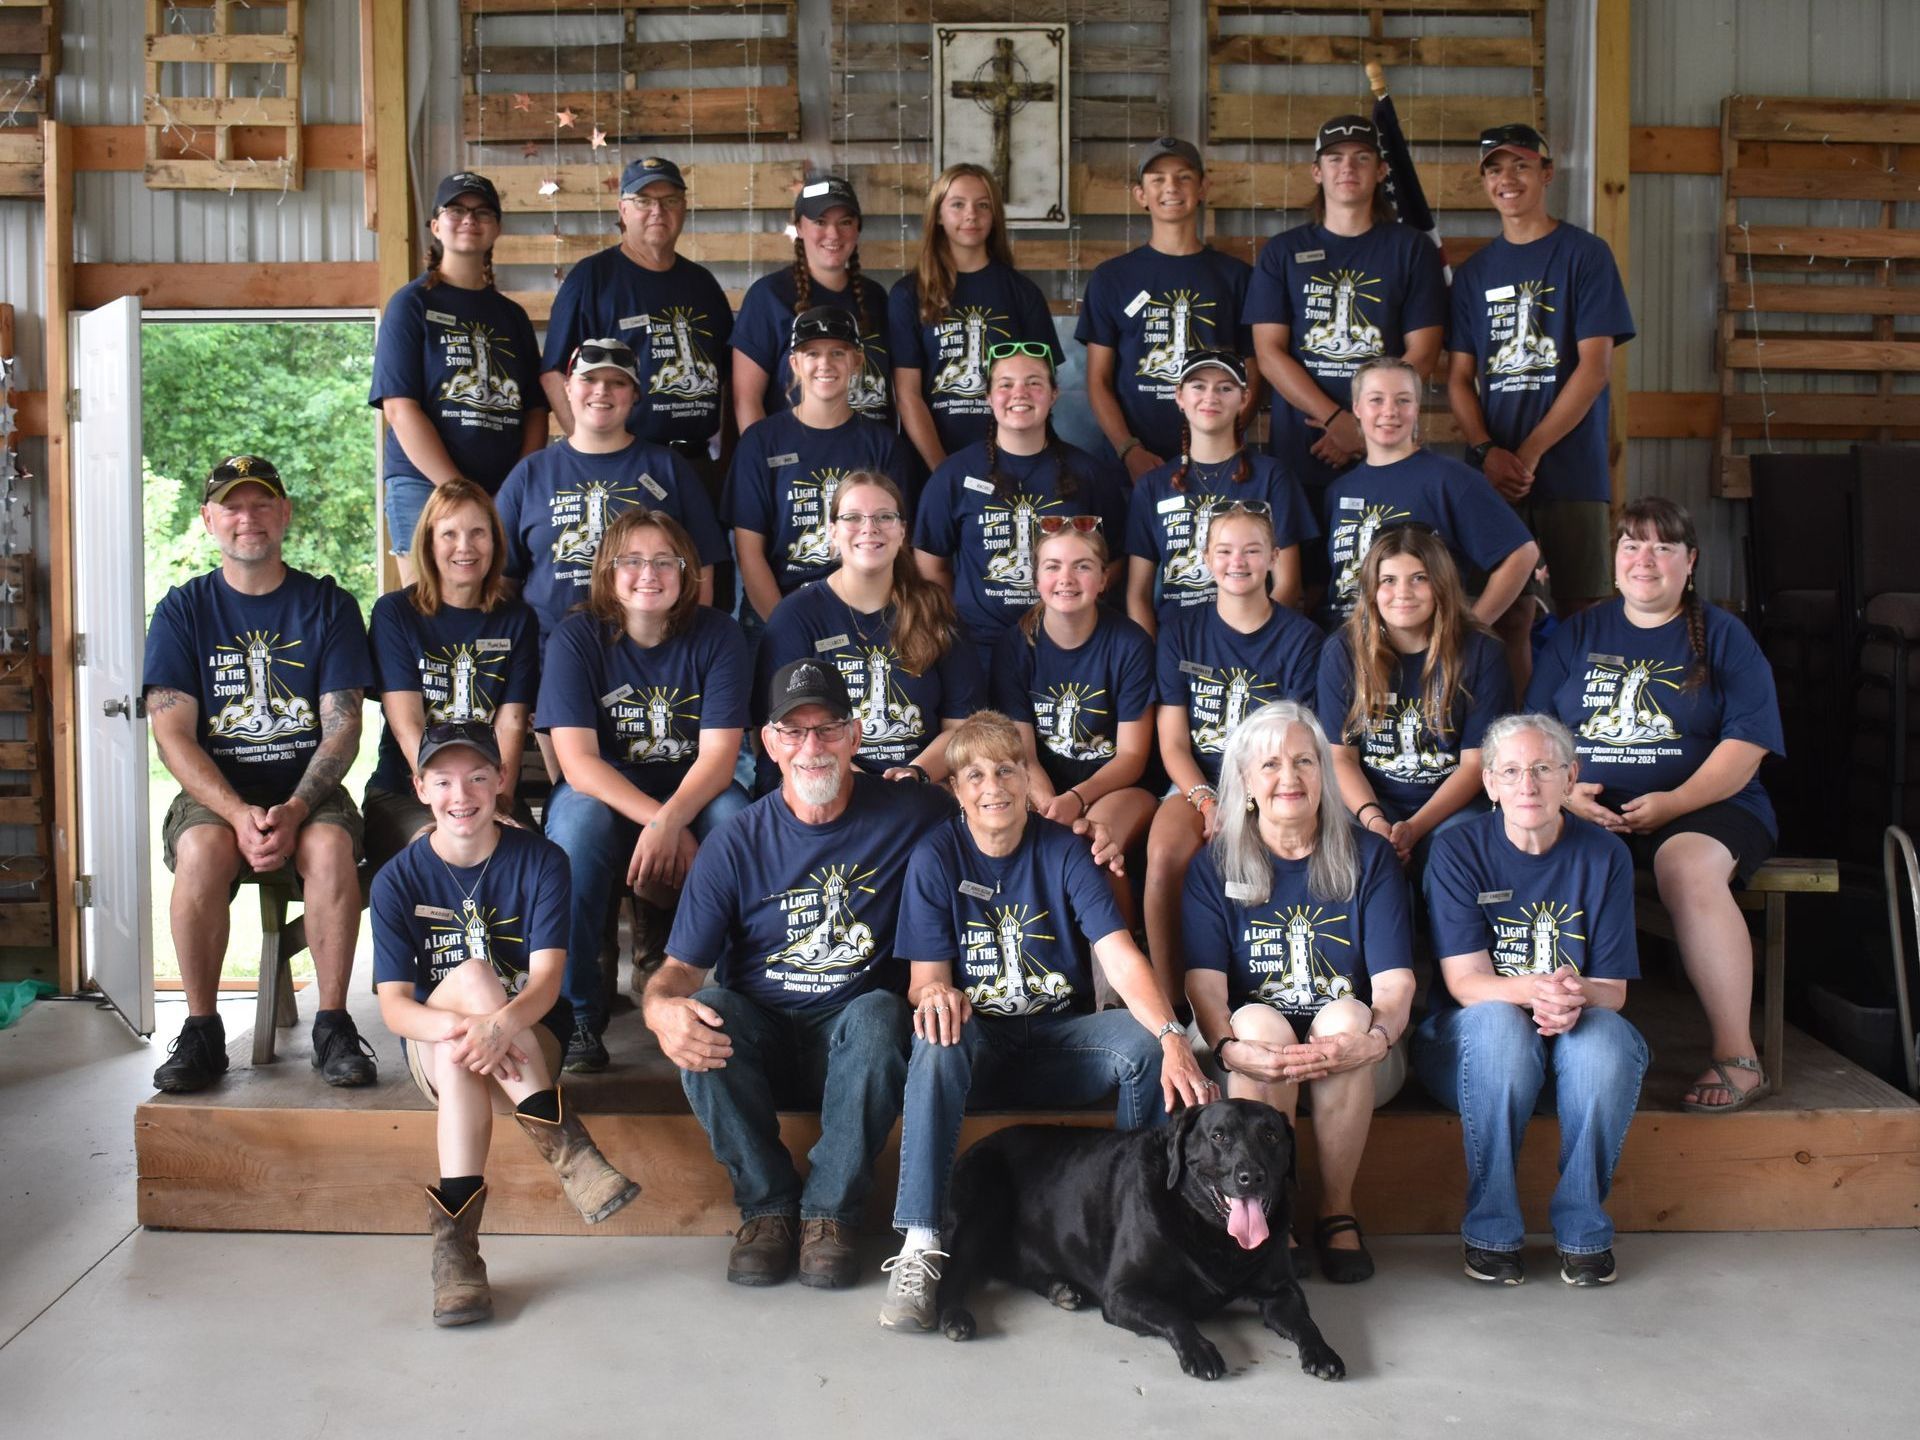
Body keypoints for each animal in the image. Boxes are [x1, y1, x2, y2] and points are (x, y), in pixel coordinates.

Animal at [936, 1105, 1344, 1390]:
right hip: (980, 1205)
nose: (1252, 1176)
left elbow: (1305, 1321)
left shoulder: (1282, 1292)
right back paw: (955, 1317)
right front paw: (1200, 1349)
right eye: (1219, 1136)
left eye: (1272, 1136)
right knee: (955, 1272)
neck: (1212, 1233)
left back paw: (1060, 1288)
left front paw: (1323, 1352)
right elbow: (1174, 1313)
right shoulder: (1123, 1292)